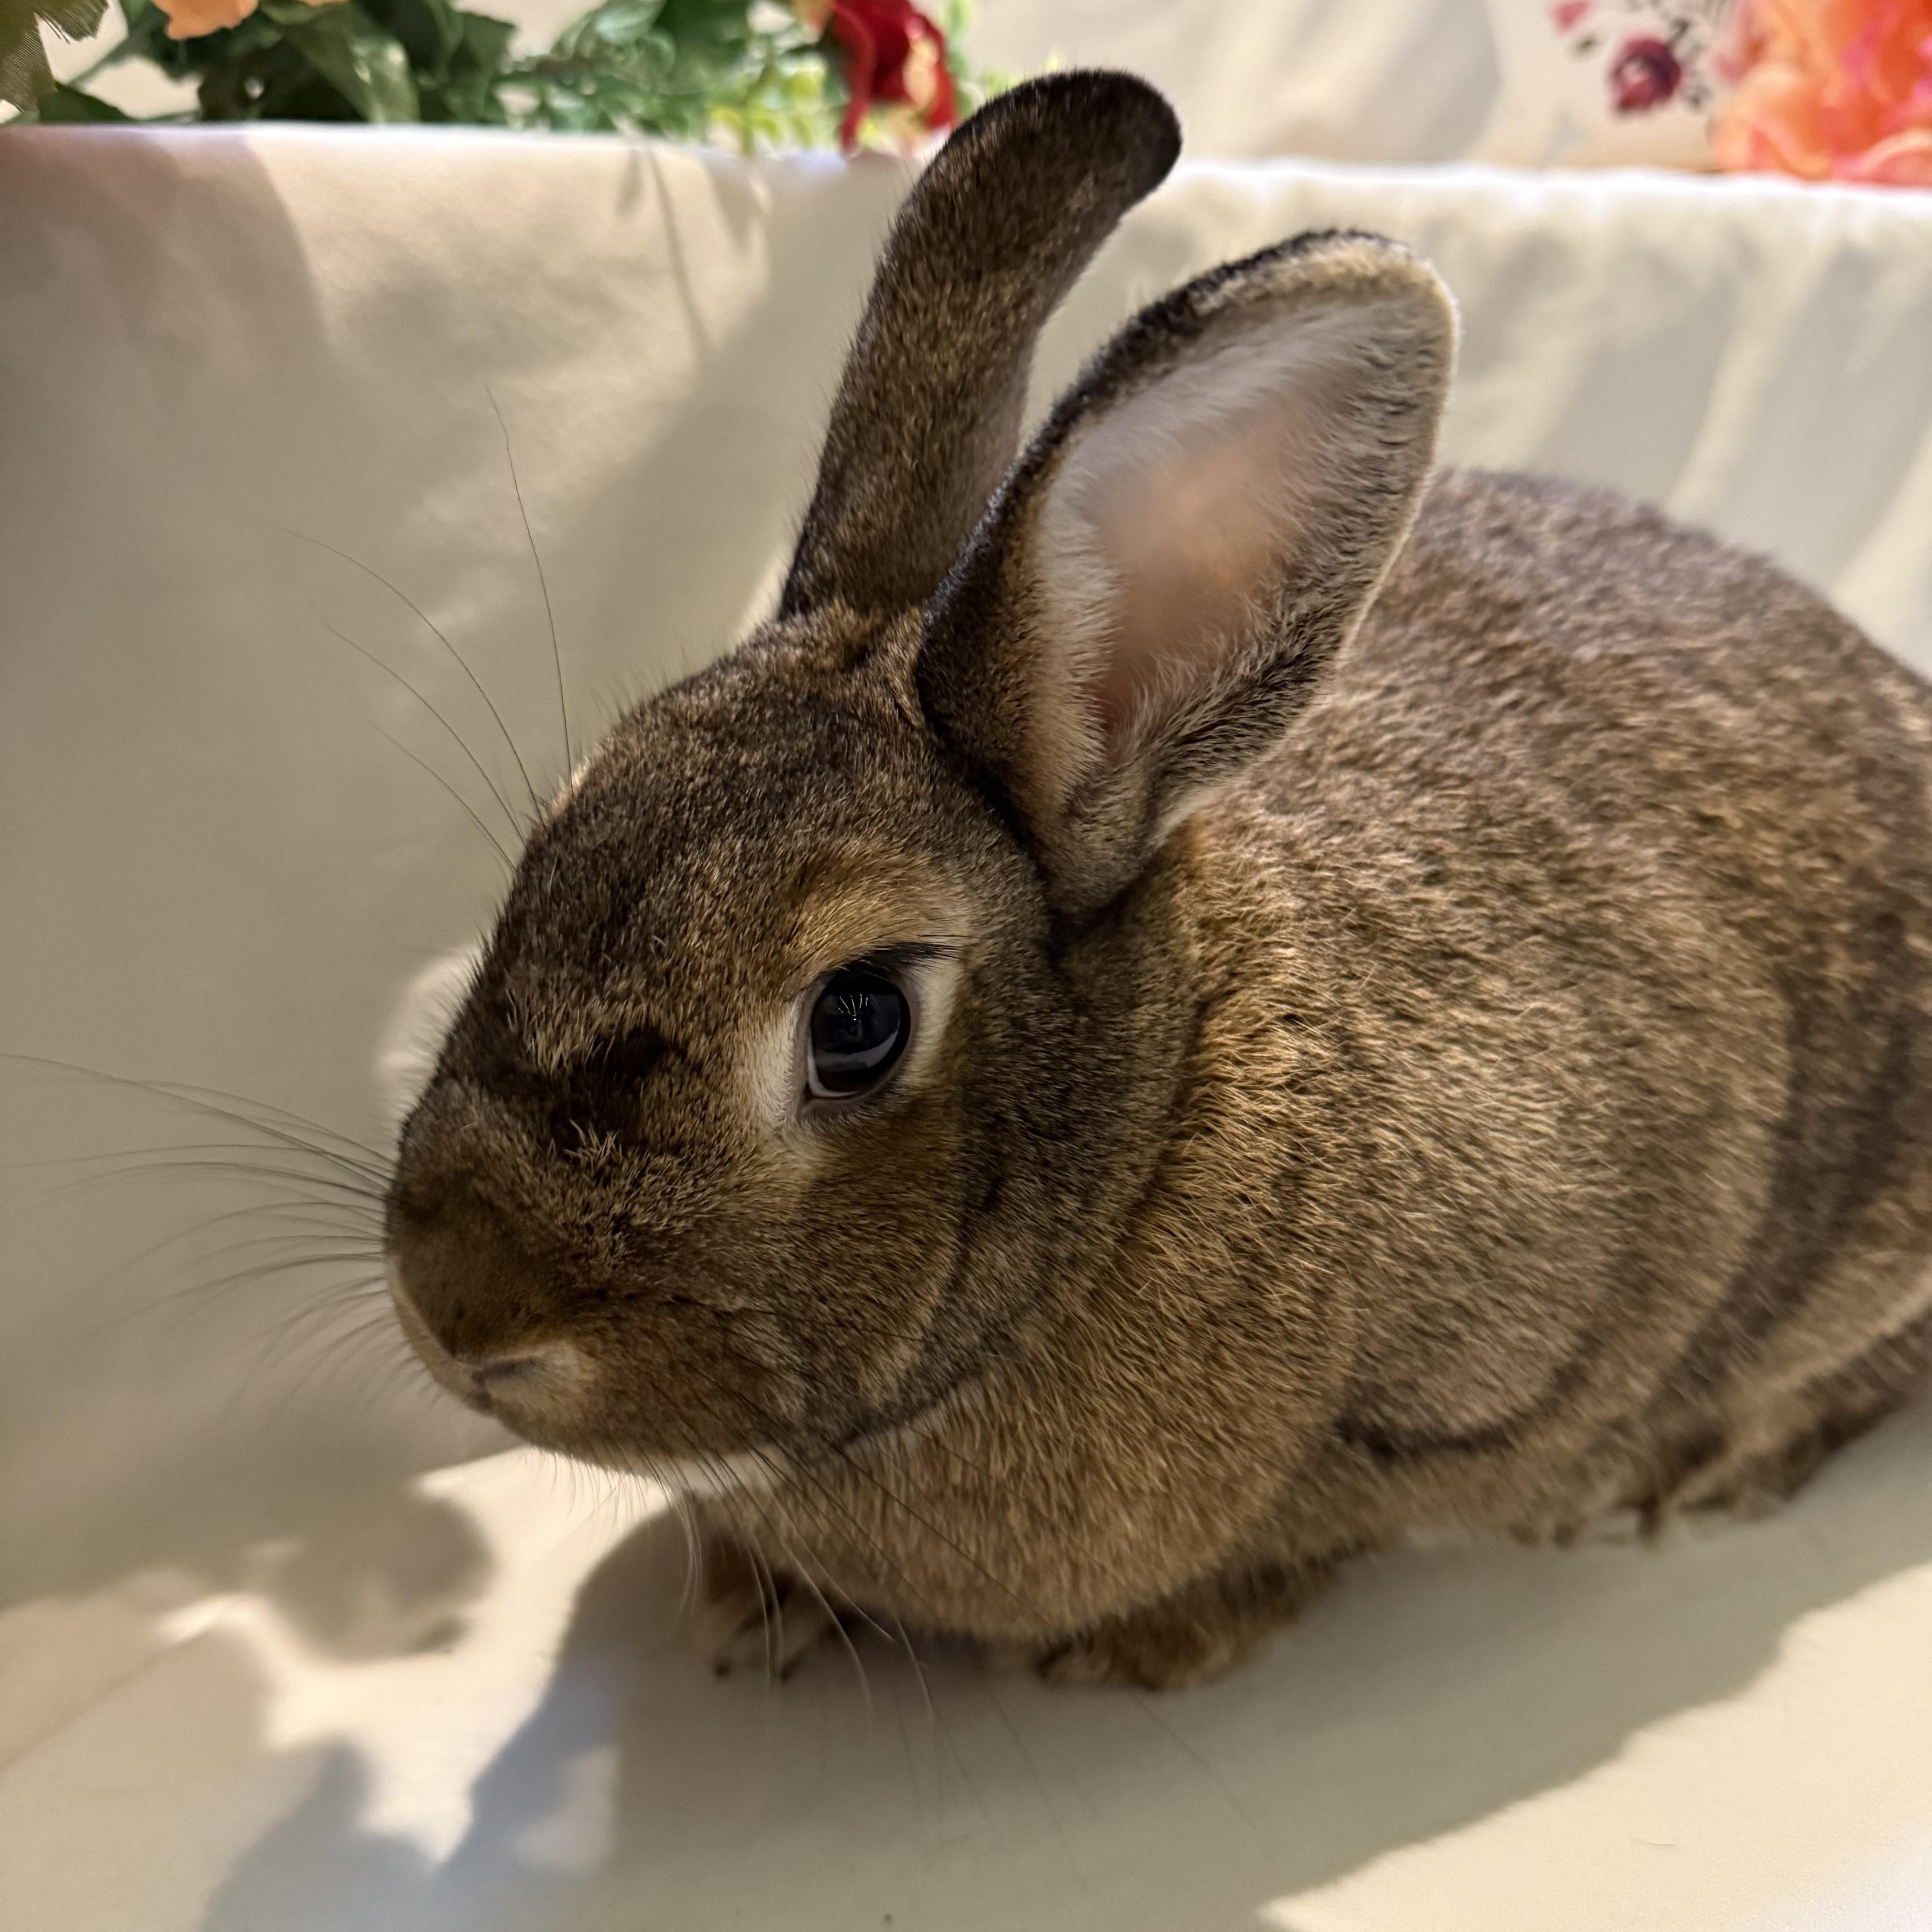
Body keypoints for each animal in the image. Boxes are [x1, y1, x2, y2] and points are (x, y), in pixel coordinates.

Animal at [384, 70, 1932, 1690]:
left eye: (857, 1021)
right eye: (557, 837)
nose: (460, 1305)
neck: (1156, 1118)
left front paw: (1148, 1648)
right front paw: (759, 1607)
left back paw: (1691, 1477)